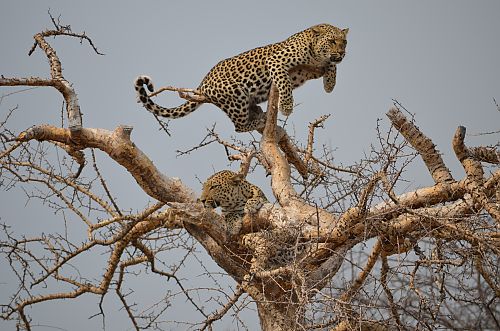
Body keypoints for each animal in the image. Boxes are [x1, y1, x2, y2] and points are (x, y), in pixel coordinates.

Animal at [135, 23, 350, 132]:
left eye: (344, 42)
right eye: (332, 41)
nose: (342, 53)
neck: (315, 55)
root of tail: (202, 84)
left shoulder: (312, 69)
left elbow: (332, 66)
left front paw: (330, 84)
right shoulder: (276, 62)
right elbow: (284, 83)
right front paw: (287, 107)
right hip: (236, 95)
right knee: (238, 127)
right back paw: (259, 122)